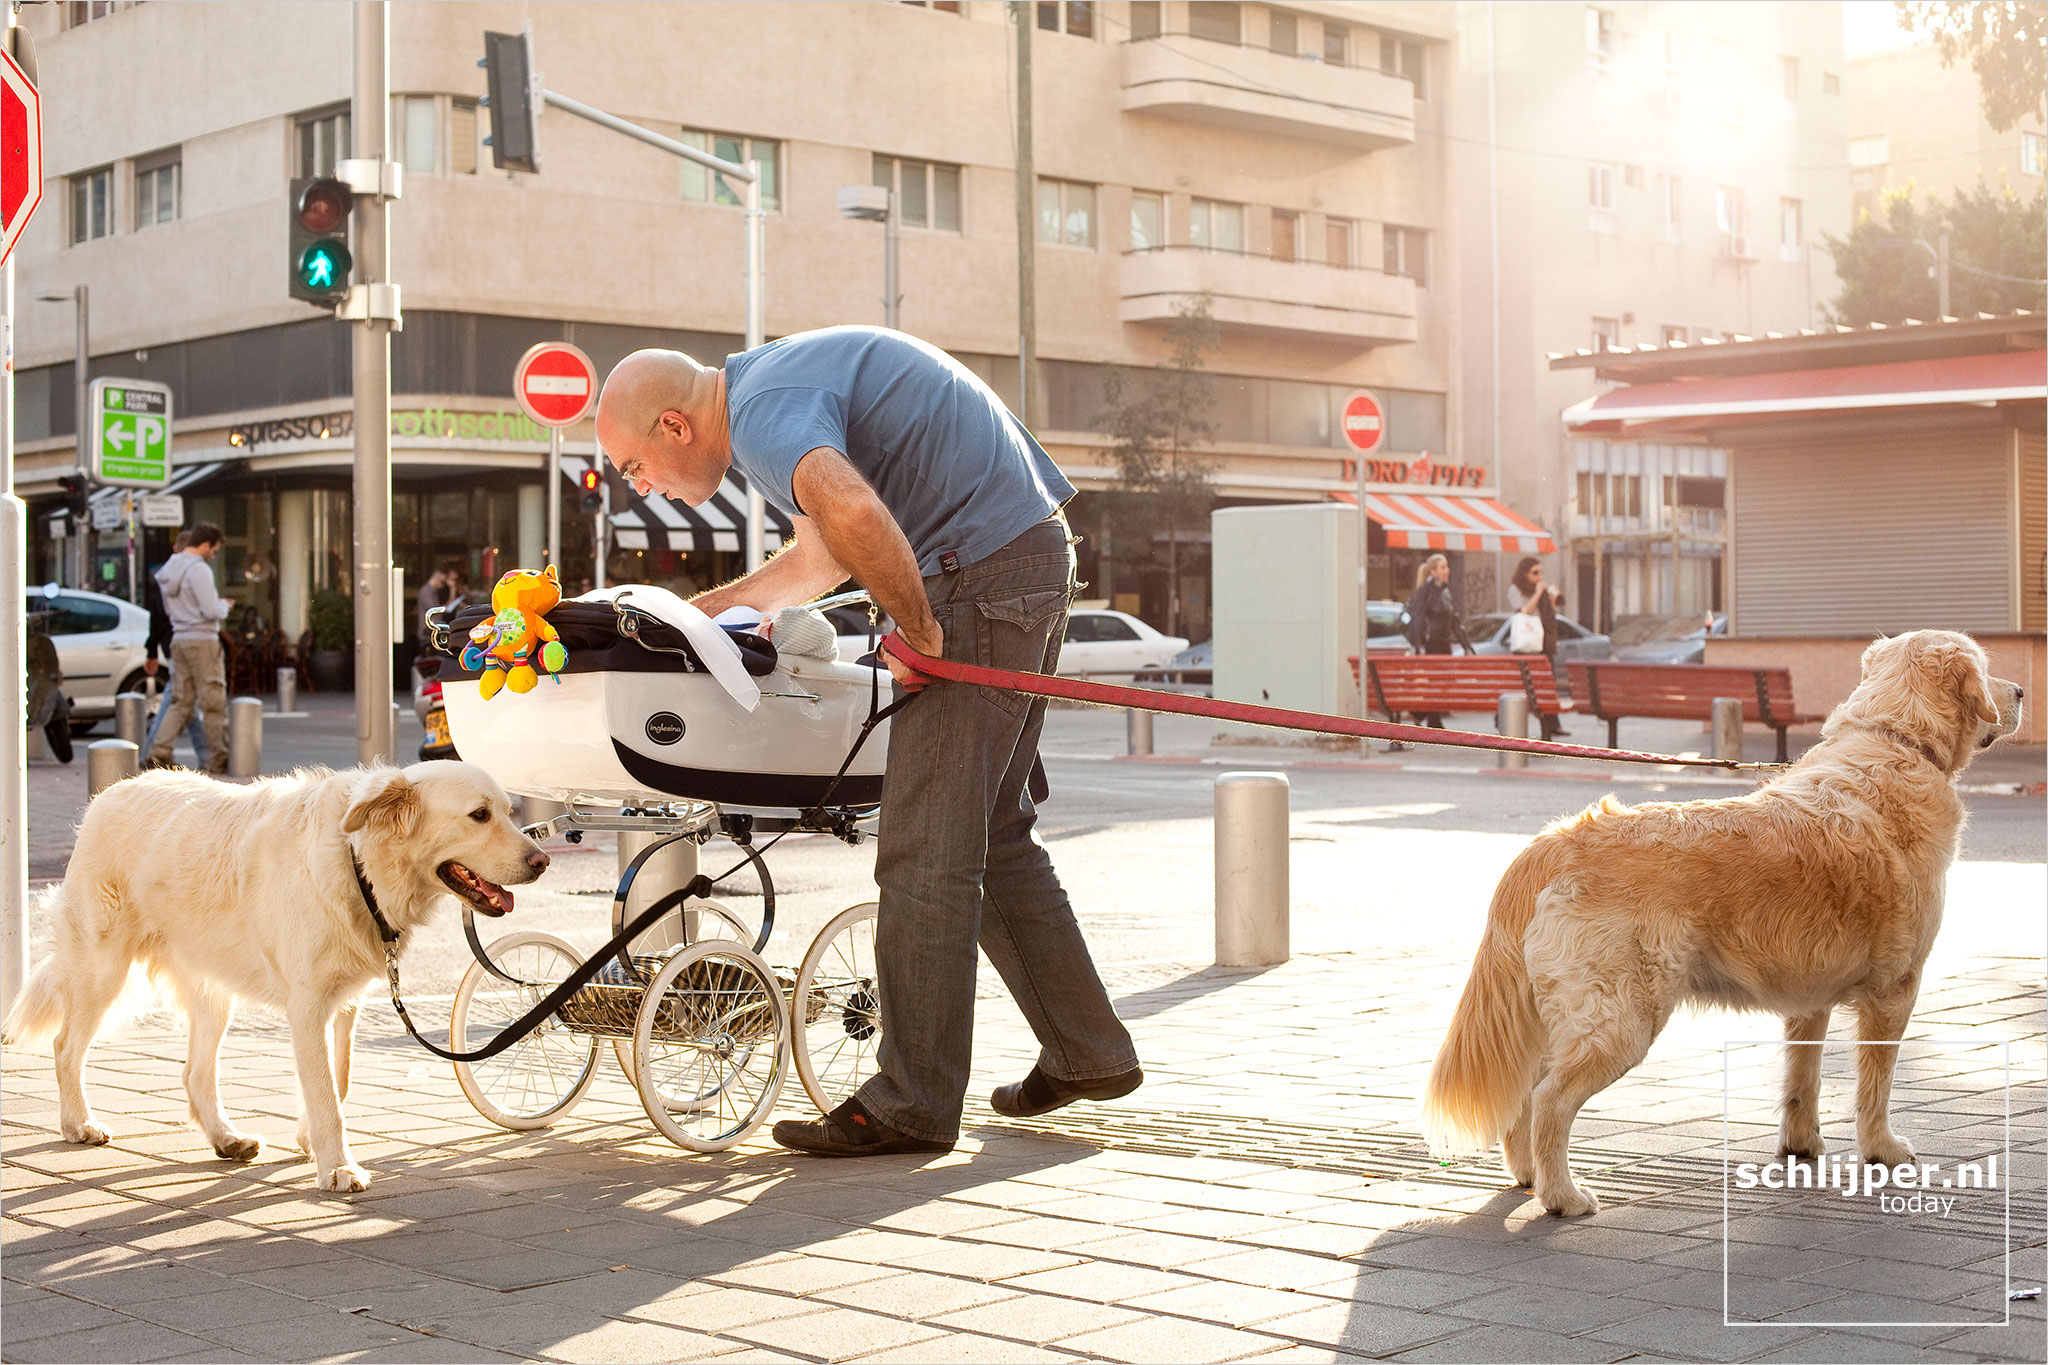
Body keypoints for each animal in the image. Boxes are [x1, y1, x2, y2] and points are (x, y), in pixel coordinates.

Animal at [0, 765, 548, 1186]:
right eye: (479, 815)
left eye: (510, 812)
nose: (542, 861)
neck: (358, 863)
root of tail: (109, 793)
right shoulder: (307, 1006)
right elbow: (327, 1094)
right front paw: (338, 1168)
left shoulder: (345, 1004)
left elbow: (339, 1079)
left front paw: (311, 1140)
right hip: (103, 971)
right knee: (66, 1046)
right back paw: (78, 1123)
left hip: (212, 994)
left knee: (195, 1073)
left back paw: (226, 1139)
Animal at [1433, 634, 2023, 1219]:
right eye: (1986, 667)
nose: (2019, 690)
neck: (1896, 739)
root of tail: (1554, 841)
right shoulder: (1896, 989)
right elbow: (1875, 1086)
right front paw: (1883, 1149)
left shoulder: (1809, 996)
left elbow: (1802, 1079)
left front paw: (1801, 1146)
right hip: (1620, 1020)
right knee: (1548, 1100)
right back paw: (1563, 1195)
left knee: (1525, 1096)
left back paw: (1530, 1176)